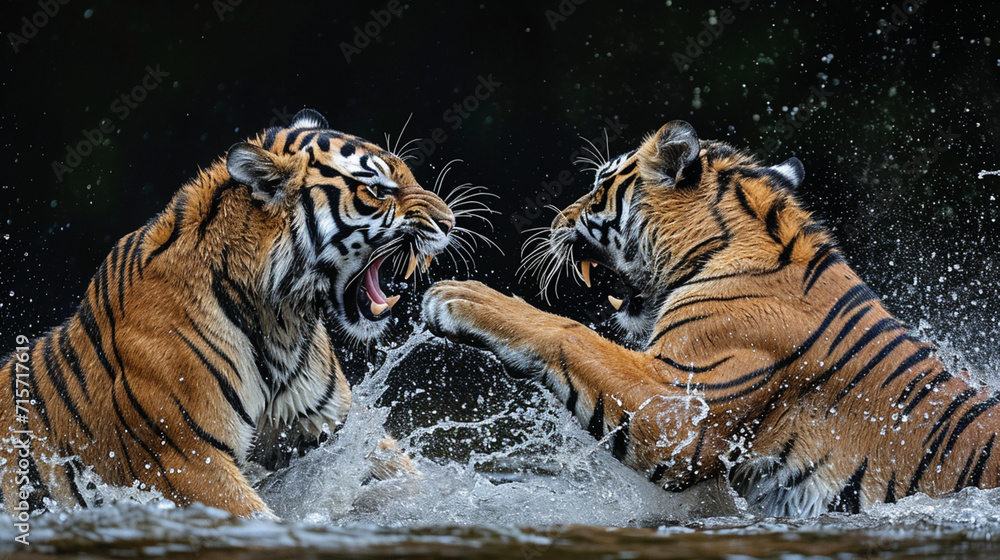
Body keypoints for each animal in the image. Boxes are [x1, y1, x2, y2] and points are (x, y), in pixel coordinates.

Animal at [1, 108, 456, 518]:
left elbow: (411, 480)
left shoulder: (331, 426)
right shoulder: (187, 460)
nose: (450, 222)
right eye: (378, 190)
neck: (280, 318)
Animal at [423, 120, 1000, 517]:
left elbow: (569, 331)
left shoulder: (680, 408)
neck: (722, 247)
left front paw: (459, 297)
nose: (555, 220)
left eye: (599, 187)